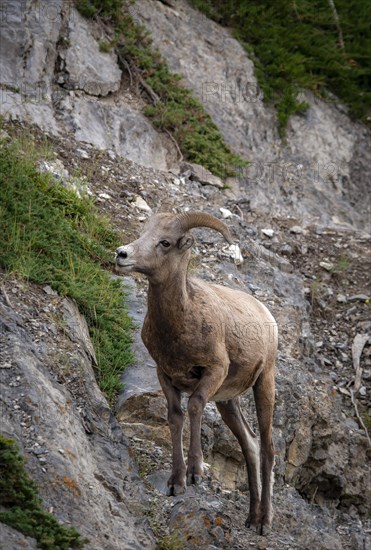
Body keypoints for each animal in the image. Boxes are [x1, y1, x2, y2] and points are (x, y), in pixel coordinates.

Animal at [115, 211, 278, 536]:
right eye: (144, 233)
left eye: (165, 242)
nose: (121, 254)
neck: (179, 324)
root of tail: (267, 315)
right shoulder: (166, 376)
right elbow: (176, 417)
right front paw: (176, 482)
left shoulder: (213, 372)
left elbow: (194, 407)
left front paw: (195, 474)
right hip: (228, 402)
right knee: (250, 445)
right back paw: (251, 518)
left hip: (264, 382)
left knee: (266, 449)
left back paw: (264, 522)